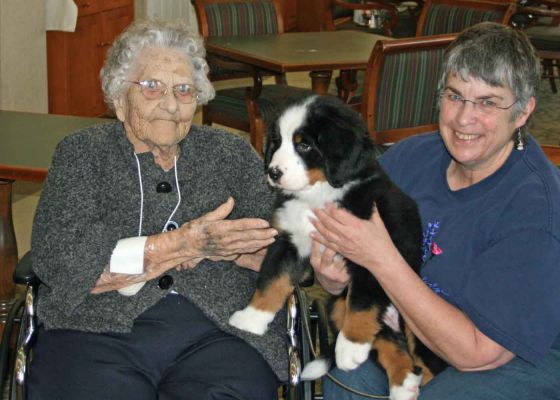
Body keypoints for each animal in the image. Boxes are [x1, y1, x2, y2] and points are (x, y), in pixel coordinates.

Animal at [230, 94, 444, 400]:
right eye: (277, 142)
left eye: (304, 144)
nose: (273, 172)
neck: (318, 196)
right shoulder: (289, 242)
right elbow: (271, 281)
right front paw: (251, 318)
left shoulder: (374, 255)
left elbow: (362, 303)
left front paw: (350, 346)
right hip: (337, 307)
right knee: (393, 346)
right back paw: (404, 385)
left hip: (414, 312)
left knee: (424, 360)